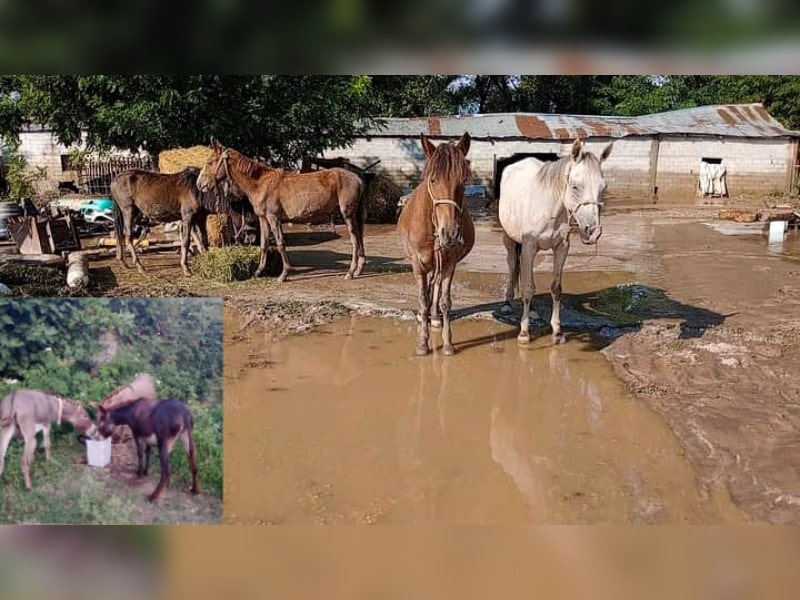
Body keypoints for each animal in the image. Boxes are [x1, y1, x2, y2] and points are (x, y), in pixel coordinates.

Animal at [197, 141, 366, 282]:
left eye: (210, 162)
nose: (200, 184)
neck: (261, 183)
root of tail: (358, 179)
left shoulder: (273, 218)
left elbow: (280, 243)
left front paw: (283, 274)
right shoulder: (263, 218)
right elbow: (264, 244)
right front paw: (258, 272)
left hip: (347, 215)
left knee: (354, 241)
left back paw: (350, 272)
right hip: (354, 215)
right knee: (359, 238)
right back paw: (358, 270)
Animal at [398, 132, 476, 356]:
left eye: (463, 181)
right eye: (433, 180)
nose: (449, 233)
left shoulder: (449, 263)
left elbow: (444, 301)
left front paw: (448, 343)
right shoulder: (418, 263)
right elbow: (423, 300)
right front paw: (423, 343)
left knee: (436, 287)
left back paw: (434, 319)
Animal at [500, 138, 612, 344]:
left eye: (603, 187)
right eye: (575, 186)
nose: (593, 232)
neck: (549, 208)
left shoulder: (561, 248)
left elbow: (556, 288)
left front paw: (557, 332)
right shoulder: (529, 247)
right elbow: (528, 287)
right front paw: (524, 333)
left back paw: (532, 311)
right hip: (509, 239)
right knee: (512, 264)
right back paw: (507, 303)